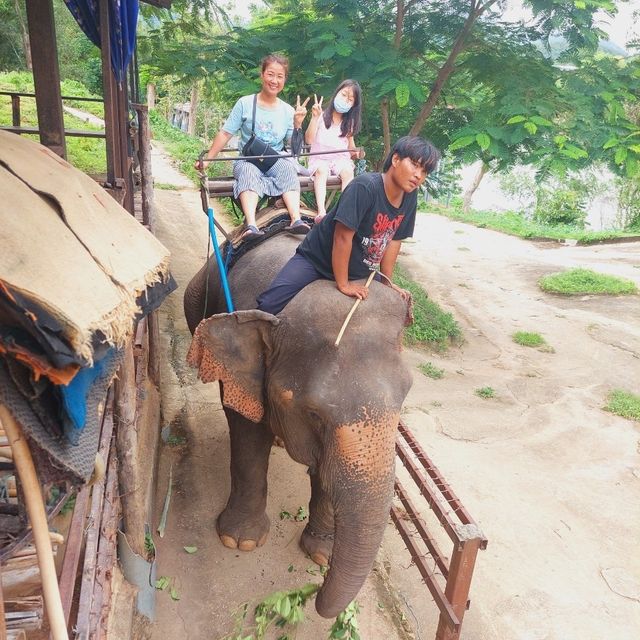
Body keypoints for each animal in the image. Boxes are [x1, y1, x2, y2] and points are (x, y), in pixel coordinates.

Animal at [182, 229, 412, 616]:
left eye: (405, 395)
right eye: (314, 414)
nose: (314, 594)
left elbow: (326, 472)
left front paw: (320, 554)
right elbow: (247, 437)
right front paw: (239, 542)